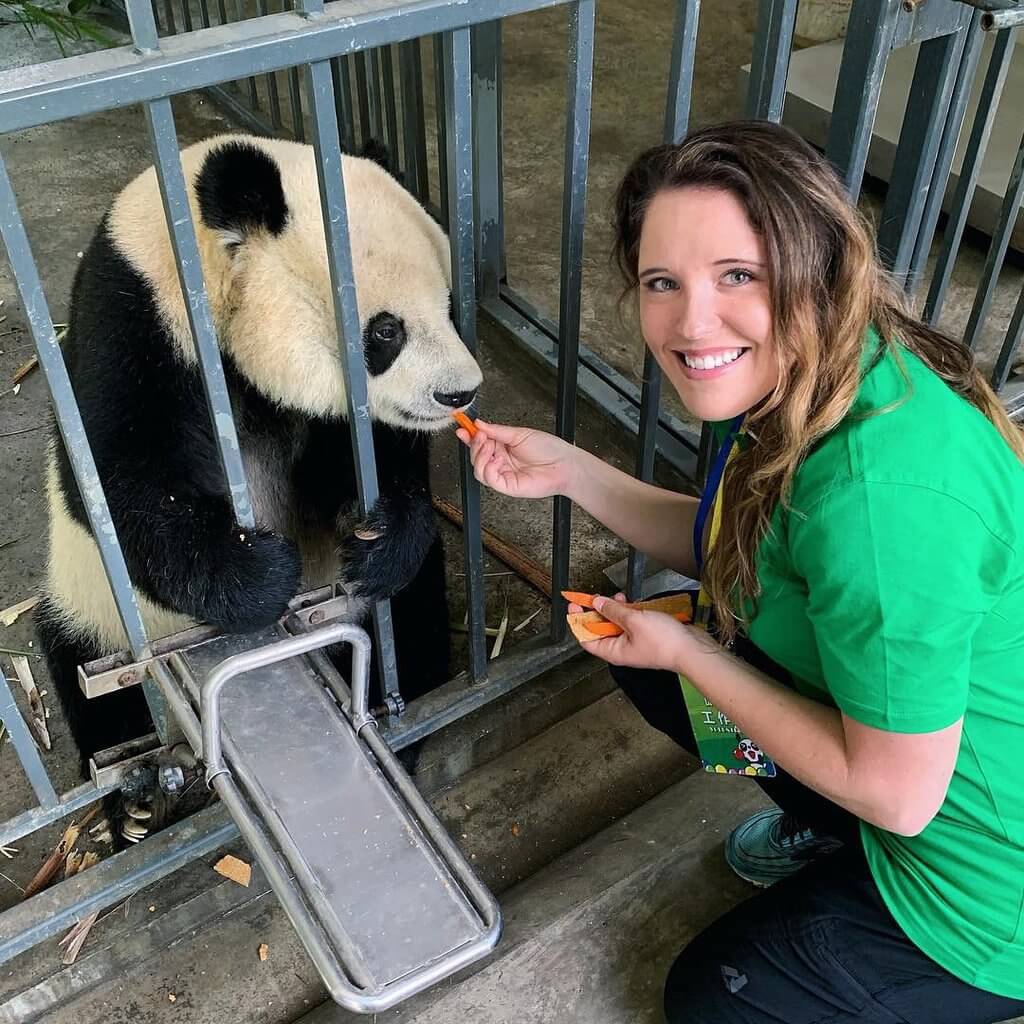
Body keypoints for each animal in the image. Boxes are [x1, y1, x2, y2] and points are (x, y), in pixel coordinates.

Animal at [33, 134, 479, 806]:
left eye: (451, 307)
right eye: (385, 331)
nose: (460, 393)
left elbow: (374, 455)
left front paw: (378, 535)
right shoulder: (133, 322)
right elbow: (120, 482)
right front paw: (259, 574)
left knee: (412, 607)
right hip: (94, 608)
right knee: (87, 681)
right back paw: (142, 801)